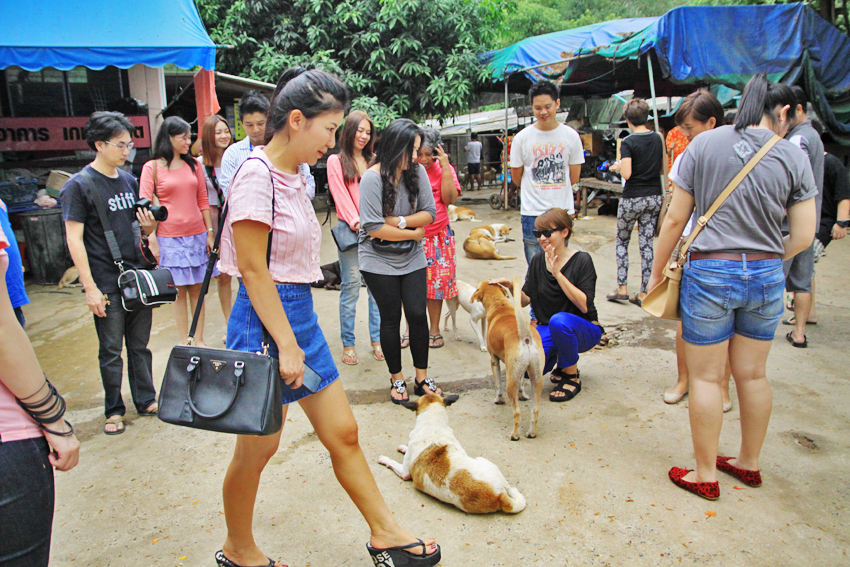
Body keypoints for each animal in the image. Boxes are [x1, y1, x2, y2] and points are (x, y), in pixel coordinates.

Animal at [378, 394, 526, 514]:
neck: (433, 426)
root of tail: (499, 496)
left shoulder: (404, 473)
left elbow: (393, 463)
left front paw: (384, 459)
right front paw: (404, 447)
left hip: (482, 459)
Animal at [471, 278, 545, 440]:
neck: (500, 306)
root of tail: (526, 337)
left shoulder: (494, 361)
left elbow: (498, 385)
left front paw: (498, 400)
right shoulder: (521, 372)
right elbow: (522, 387)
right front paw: (523, 395)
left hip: (511, 381)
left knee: (517, 412)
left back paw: (515, 435)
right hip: (536, 378)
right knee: (535, 410)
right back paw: (531, 432)